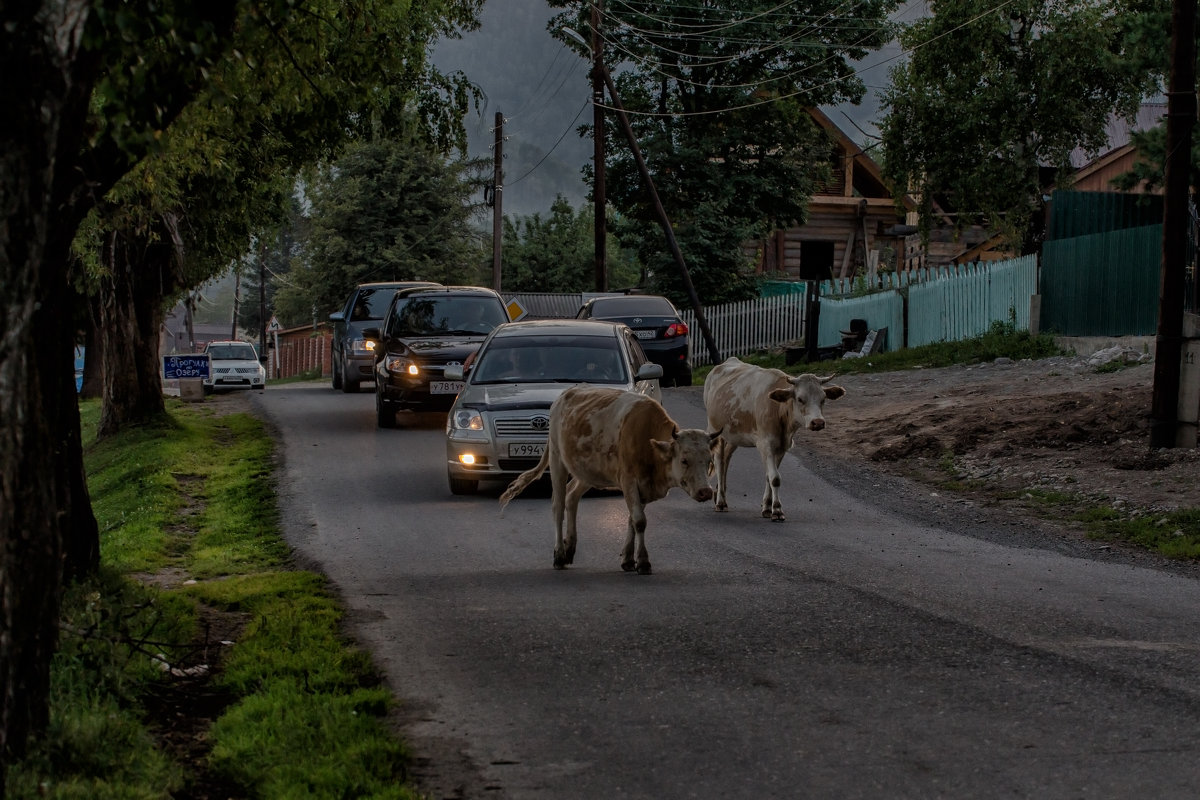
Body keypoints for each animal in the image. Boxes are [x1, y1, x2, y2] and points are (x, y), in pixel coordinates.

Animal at [496, 383, 710, 575]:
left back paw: (570, 548)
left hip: (586, 471)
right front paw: (642, 562)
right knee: (558, 506)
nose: (706, 491)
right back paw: (559, 555)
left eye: (709, 460)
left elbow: (632, 520)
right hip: (557, 459)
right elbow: (640, 521)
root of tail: (566, 393)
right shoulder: (628, 480)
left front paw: (628, 559)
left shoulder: (643, 486)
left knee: (571, 497)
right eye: (684, 460)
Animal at [700, 355, 844, 520]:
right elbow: (774, 478)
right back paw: (720, 502)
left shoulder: (782, 446)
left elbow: (769, 477)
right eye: (800, 399)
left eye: (823, 399)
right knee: (719, 462)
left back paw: (721, 494)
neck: (778, 409)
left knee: (726, 461)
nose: (818, 422)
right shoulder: (765, 444)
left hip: (733, 436)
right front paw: (777, 509)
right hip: (715, 430)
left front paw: (767, 507)